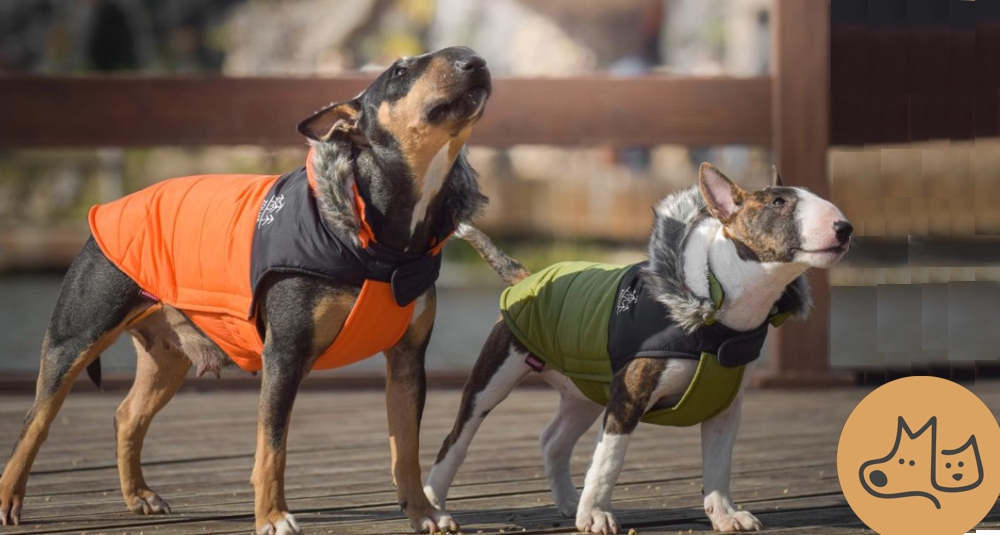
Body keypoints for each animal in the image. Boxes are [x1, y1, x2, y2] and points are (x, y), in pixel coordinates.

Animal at [0, 46, 490, 535]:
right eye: (400, 71)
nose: (475, 61)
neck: (382, 238)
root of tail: (111, 206)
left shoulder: (408, 360)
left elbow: (407, 447)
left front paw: (423, 513)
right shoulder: (285, 354)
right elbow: (272, 447)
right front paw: (272, 516)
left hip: (167, 359)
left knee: (127, 416)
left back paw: (138, 495)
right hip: (76, 336)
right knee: (34, 422)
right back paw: (10, 500)